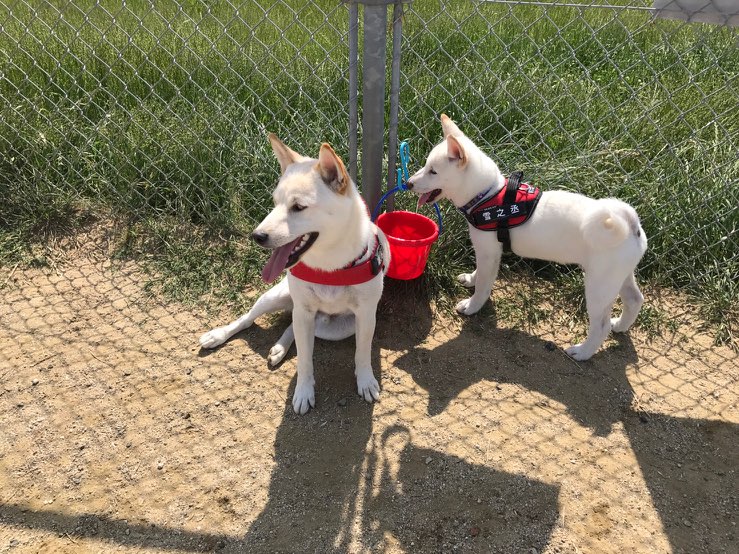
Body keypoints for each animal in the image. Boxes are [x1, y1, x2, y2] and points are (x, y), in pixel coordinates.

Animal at [199, 134, 390, 413]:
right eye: (274, 202)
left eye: (298, 207)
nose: (257, 236)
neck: (329, 265)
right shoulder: (304, 310)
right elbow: (304, 361)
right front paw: (303, 392)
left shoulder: (365, 315)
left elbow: (362, 353)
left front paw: (365, 381)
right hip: (278, 298)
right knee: (249, 319)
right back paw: (219, 335)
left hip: (336, 327)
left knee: (293, 325)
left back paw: (279, 348)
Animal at [407, 115, 647, 360]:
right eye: (426, 166)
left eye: (433, 172)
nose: (408, 183)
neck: (487, 195)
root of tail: (631, 224)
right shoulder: (488, 252)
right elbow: (479, 274)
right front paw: (471, 279)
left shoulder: (489, 253)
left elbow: (484, 283)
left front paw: (472, 306)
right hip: (619, 277)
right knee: (635, 300)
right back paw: (621, 326)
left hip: (599, 286)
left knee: (601, 325)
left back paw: (583, 352)